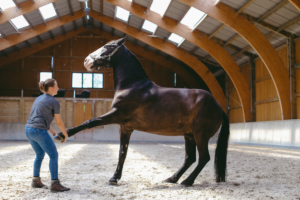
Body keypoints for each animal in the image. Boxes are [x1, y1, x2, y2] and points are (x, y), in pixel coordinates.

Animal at [53, 36, 230, 188]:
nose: (87, 61)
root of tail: (218, 106)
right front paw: (114, 178)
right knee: (190, 158)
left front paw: (61, 135)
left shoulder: (116, 115)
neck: (132, 85)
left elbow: (90, 122)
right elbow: (122, 153)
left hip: (200, 134)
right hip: (189, 135)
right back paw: (172, 178)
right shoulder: (125, 127)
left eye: (108, 46)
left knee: (204, 158)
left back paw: (187, 181)